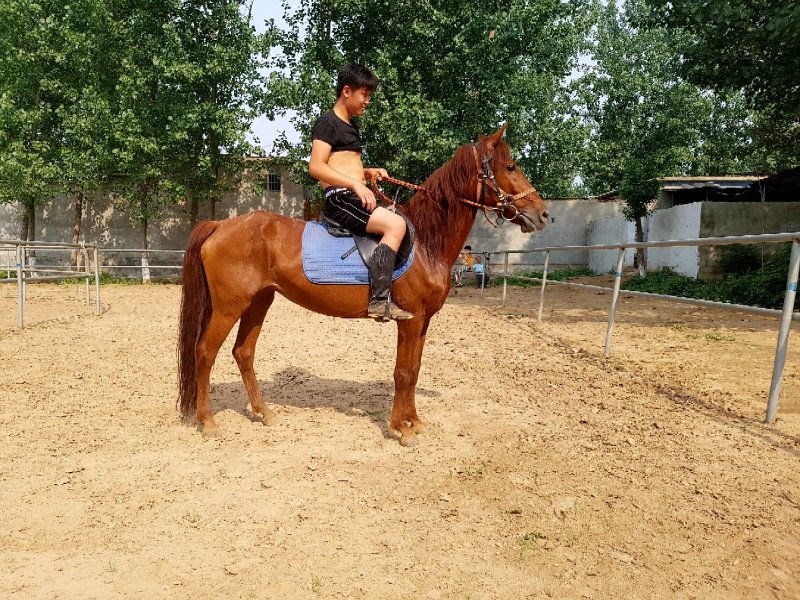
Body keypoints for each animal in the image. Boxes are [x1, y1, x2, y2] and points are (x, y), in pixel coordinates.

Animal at [177, 123, 549, 447]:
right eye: (510, 166)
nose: (543, 214)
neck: (425, 243)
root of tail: (220, 225)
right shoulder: (410, 320)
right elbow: (403, 372)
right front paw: (401, 428)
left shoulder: (423, 322)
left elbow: (414, 370)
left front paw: (414, 420)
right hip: (229, 306)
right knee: (205, 352)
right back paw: (208, 421)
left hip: (259, 301)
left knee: (244, 352)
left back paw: (264, 413)